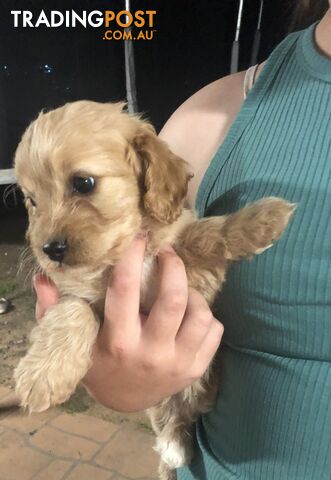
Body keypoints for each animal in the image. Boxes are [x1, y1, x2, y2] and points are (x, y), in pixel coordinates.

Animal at [13, 99, 296, 478]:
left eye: (83, 183)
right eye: (31, 200)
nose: (49, 249)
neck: (126, 252)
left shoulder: (191, 267)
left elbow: (207, 232)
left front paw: (263, 219)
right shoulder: (76, 293)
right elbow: (72, 310)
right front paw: (43, 374)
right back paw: (171, 449)